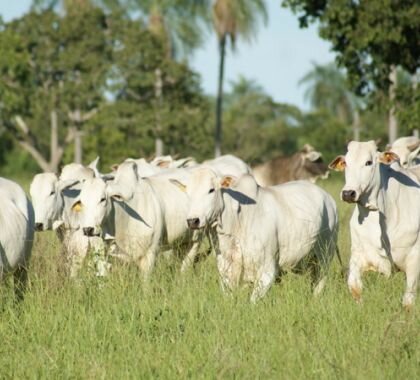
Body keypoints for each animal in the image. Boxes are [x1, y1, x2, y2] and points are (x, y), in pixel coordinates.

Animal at [174, 168, 338, 302]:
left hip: (324, 258)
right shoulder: (226, 270)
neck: (237, 220)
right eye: (188, 193)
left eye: (211, 190)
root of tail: (328, 198)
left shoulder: (267, 270)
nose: (193, 221)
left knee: (319, 286)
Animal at [330, 140, 420, 308]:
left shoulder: (414, 259)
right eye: (346, 163)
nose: (348, 193)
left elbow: (408, 301)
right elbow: (354, 286)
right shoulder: (359, 254)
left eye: (368, 162)